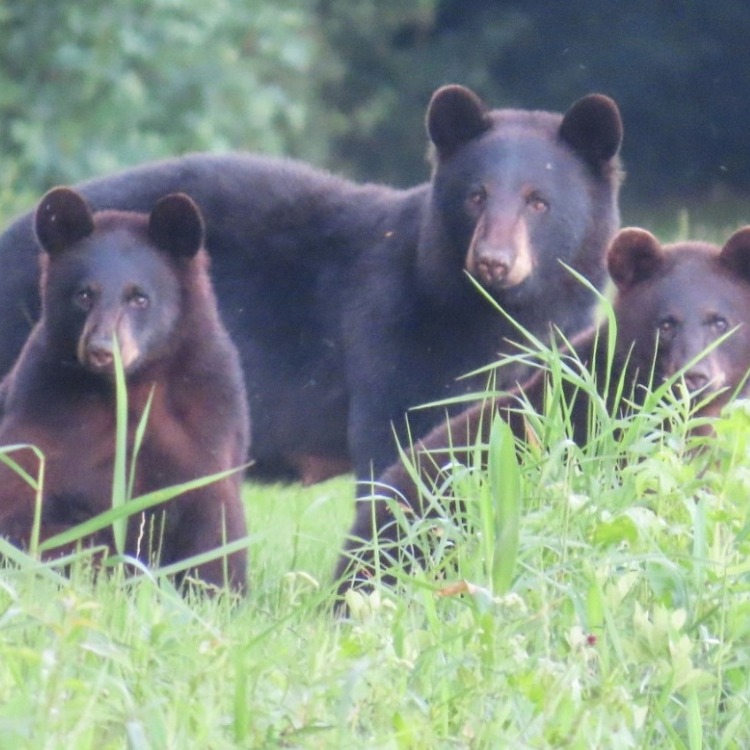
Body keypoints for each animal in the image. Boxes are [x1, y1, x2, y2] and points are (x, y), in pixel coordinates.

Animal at [0, 85, 623, 486]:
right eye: (476, 195)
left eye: (538, 201)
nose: (493, 261)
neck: (501, 312)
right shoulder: (396, 335)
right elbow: (399, 445)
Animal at [0, 187, 249, 591]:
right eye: (84, 294)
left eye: (140, 297)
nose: (101, 349)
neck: (129, 386)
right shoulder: (43, 410)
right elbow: (24, 504)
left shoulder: (206, 421)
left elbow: (213, 525)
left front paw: (216, 589)